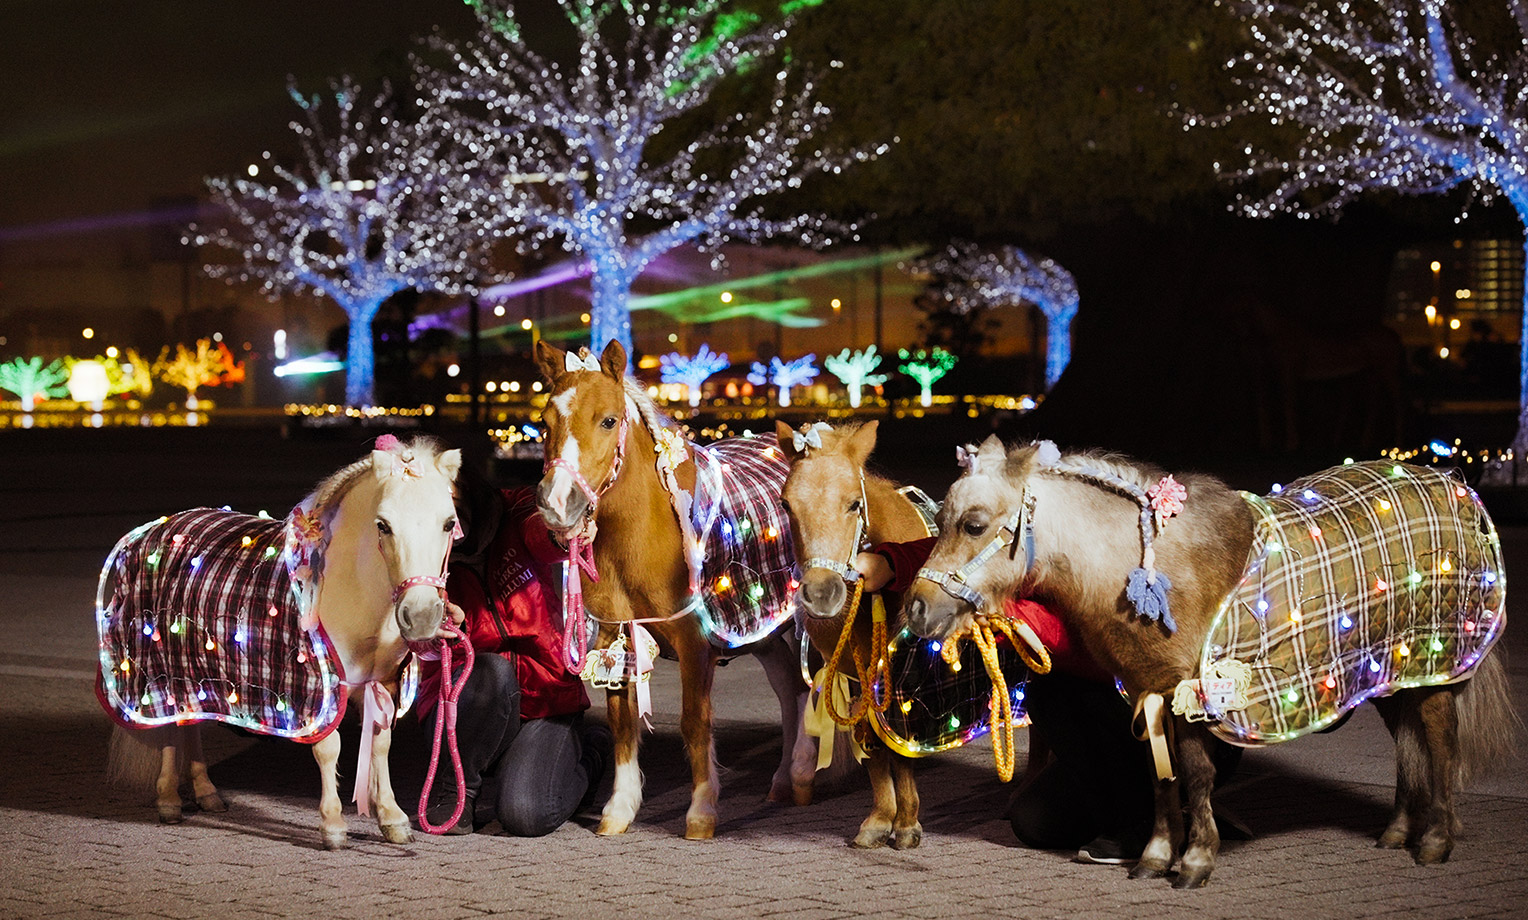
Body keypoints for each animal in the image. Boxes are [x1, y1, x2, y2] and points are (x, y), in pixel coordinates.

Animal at [98, 434, 461, 843]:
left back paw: (206, 793)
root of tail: (156, 528)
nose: (422, 616)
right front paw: (332, 824)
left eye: (449, 523)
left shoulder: (382, 683)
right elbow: (329, 748)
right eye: (383, 525)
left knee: (192, 724)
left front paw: (392, 818)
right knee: (171, 730)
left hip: (200, 673)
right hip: (162, 667)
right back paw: (168, 800)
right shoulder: (316, 689)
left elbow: (380, 746)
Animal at [534, 337, 819, 837]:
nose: (557, 501)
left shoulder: (694, 641)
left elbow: (694, 721)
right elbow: (622, 724)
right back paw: (786, 778)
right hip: (757, 622)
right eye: (545, 423)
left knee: (814, 682)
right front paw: (620, 808)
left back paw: (804, 771)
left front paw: (702, 810)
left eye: (608, 420)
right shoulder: (616, 636)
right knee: (791, 688)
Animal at [904, 434, 1515, 886]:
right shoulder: (1152, 694)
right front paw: (1155, 856)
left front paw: (1195, 861)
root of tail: (1456, 484)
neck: (1149, 566)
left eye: (975, 524)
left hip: (1435, 666)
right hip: (1391, 672)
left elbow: (1195, 775)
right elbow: (1161, 779)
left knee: (1439, 746)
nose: (917, 607)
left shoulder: (1189, 697)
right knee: (1409, 745)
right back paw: (1397, 832)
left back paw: (1435, 841)